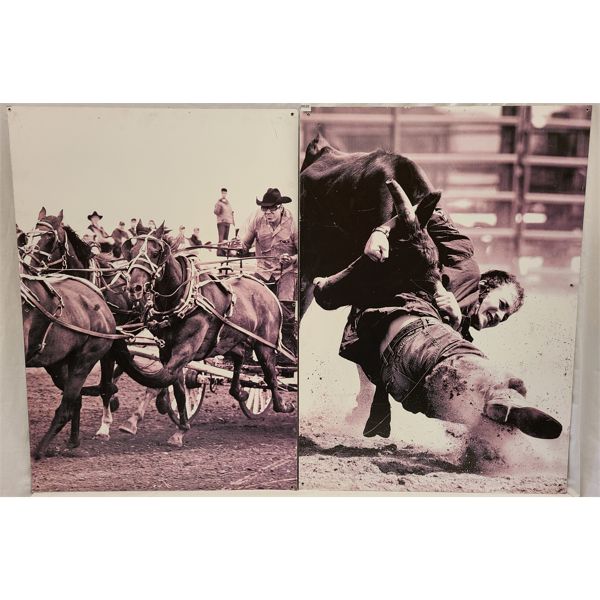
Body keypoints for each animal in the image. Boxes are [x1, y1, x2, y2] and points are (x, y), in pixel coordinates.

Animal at [21, 274, 117, 458]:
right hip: (58, 366)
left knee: (66, 408)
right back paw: (73, 441)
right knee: (77, 399)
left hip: (84, 361)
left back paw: (39, 451)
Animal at [113, 225, 294, 446]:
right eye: (131, 252)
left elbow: (163, 379)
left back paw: (282, 405)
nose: (134, 288)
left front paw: (144, 419)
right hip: (230, 340)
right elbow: (176, 386)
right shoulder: (167, 350)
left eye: (155, 253)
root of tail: (267, 291)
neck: (183, 299)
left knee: (270, 374)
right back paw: (240, 392)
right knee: (240, 358)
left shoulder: (186, 349)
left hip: (265, 344)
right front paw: (179, 426)